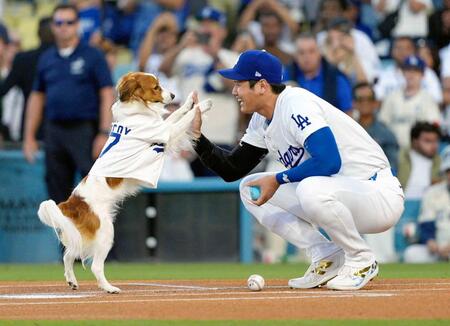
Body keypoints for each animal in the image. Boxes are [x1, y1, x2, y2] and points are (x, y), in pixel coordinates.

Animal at [37, 72, 213, 292]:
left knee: (69, 255)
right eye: (156, 87)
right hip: (106, 233)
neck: (136, 110)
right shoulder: (165, 132)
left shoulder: (162, 126)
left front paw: (189, 101)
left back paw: (72, 281)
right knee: (95, 266)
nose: (173, 95)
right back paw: (109, 288)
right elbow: (182, 119)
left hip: (83, 237)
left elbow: (176, 115)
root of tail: (73, 202)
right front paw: (203, 105)